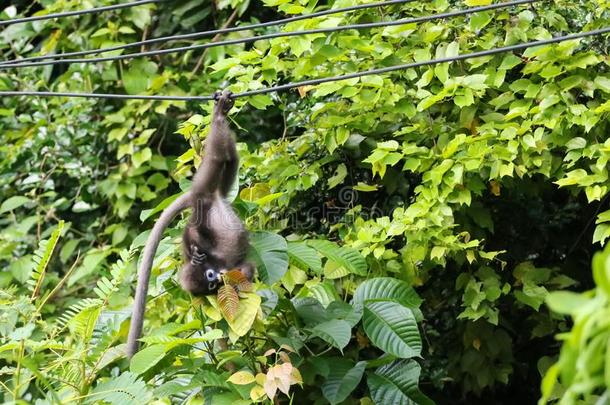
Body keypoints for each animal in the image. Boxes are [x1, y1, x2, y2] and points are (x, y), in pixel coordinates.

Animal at [126, 89, 254, 356]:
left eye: (210, 276)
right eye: (210, 284)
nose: (217, 279)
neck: (218, 263)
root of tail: (211, 197)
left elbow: (194, 237)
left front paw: (194, 252)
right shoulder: (233, 269)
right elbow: (247, 271)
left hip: (202, 192)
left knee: (214, 157)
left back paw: (218, 114)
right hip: (220, 187)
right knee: (228, 158)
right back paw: (222, 115)